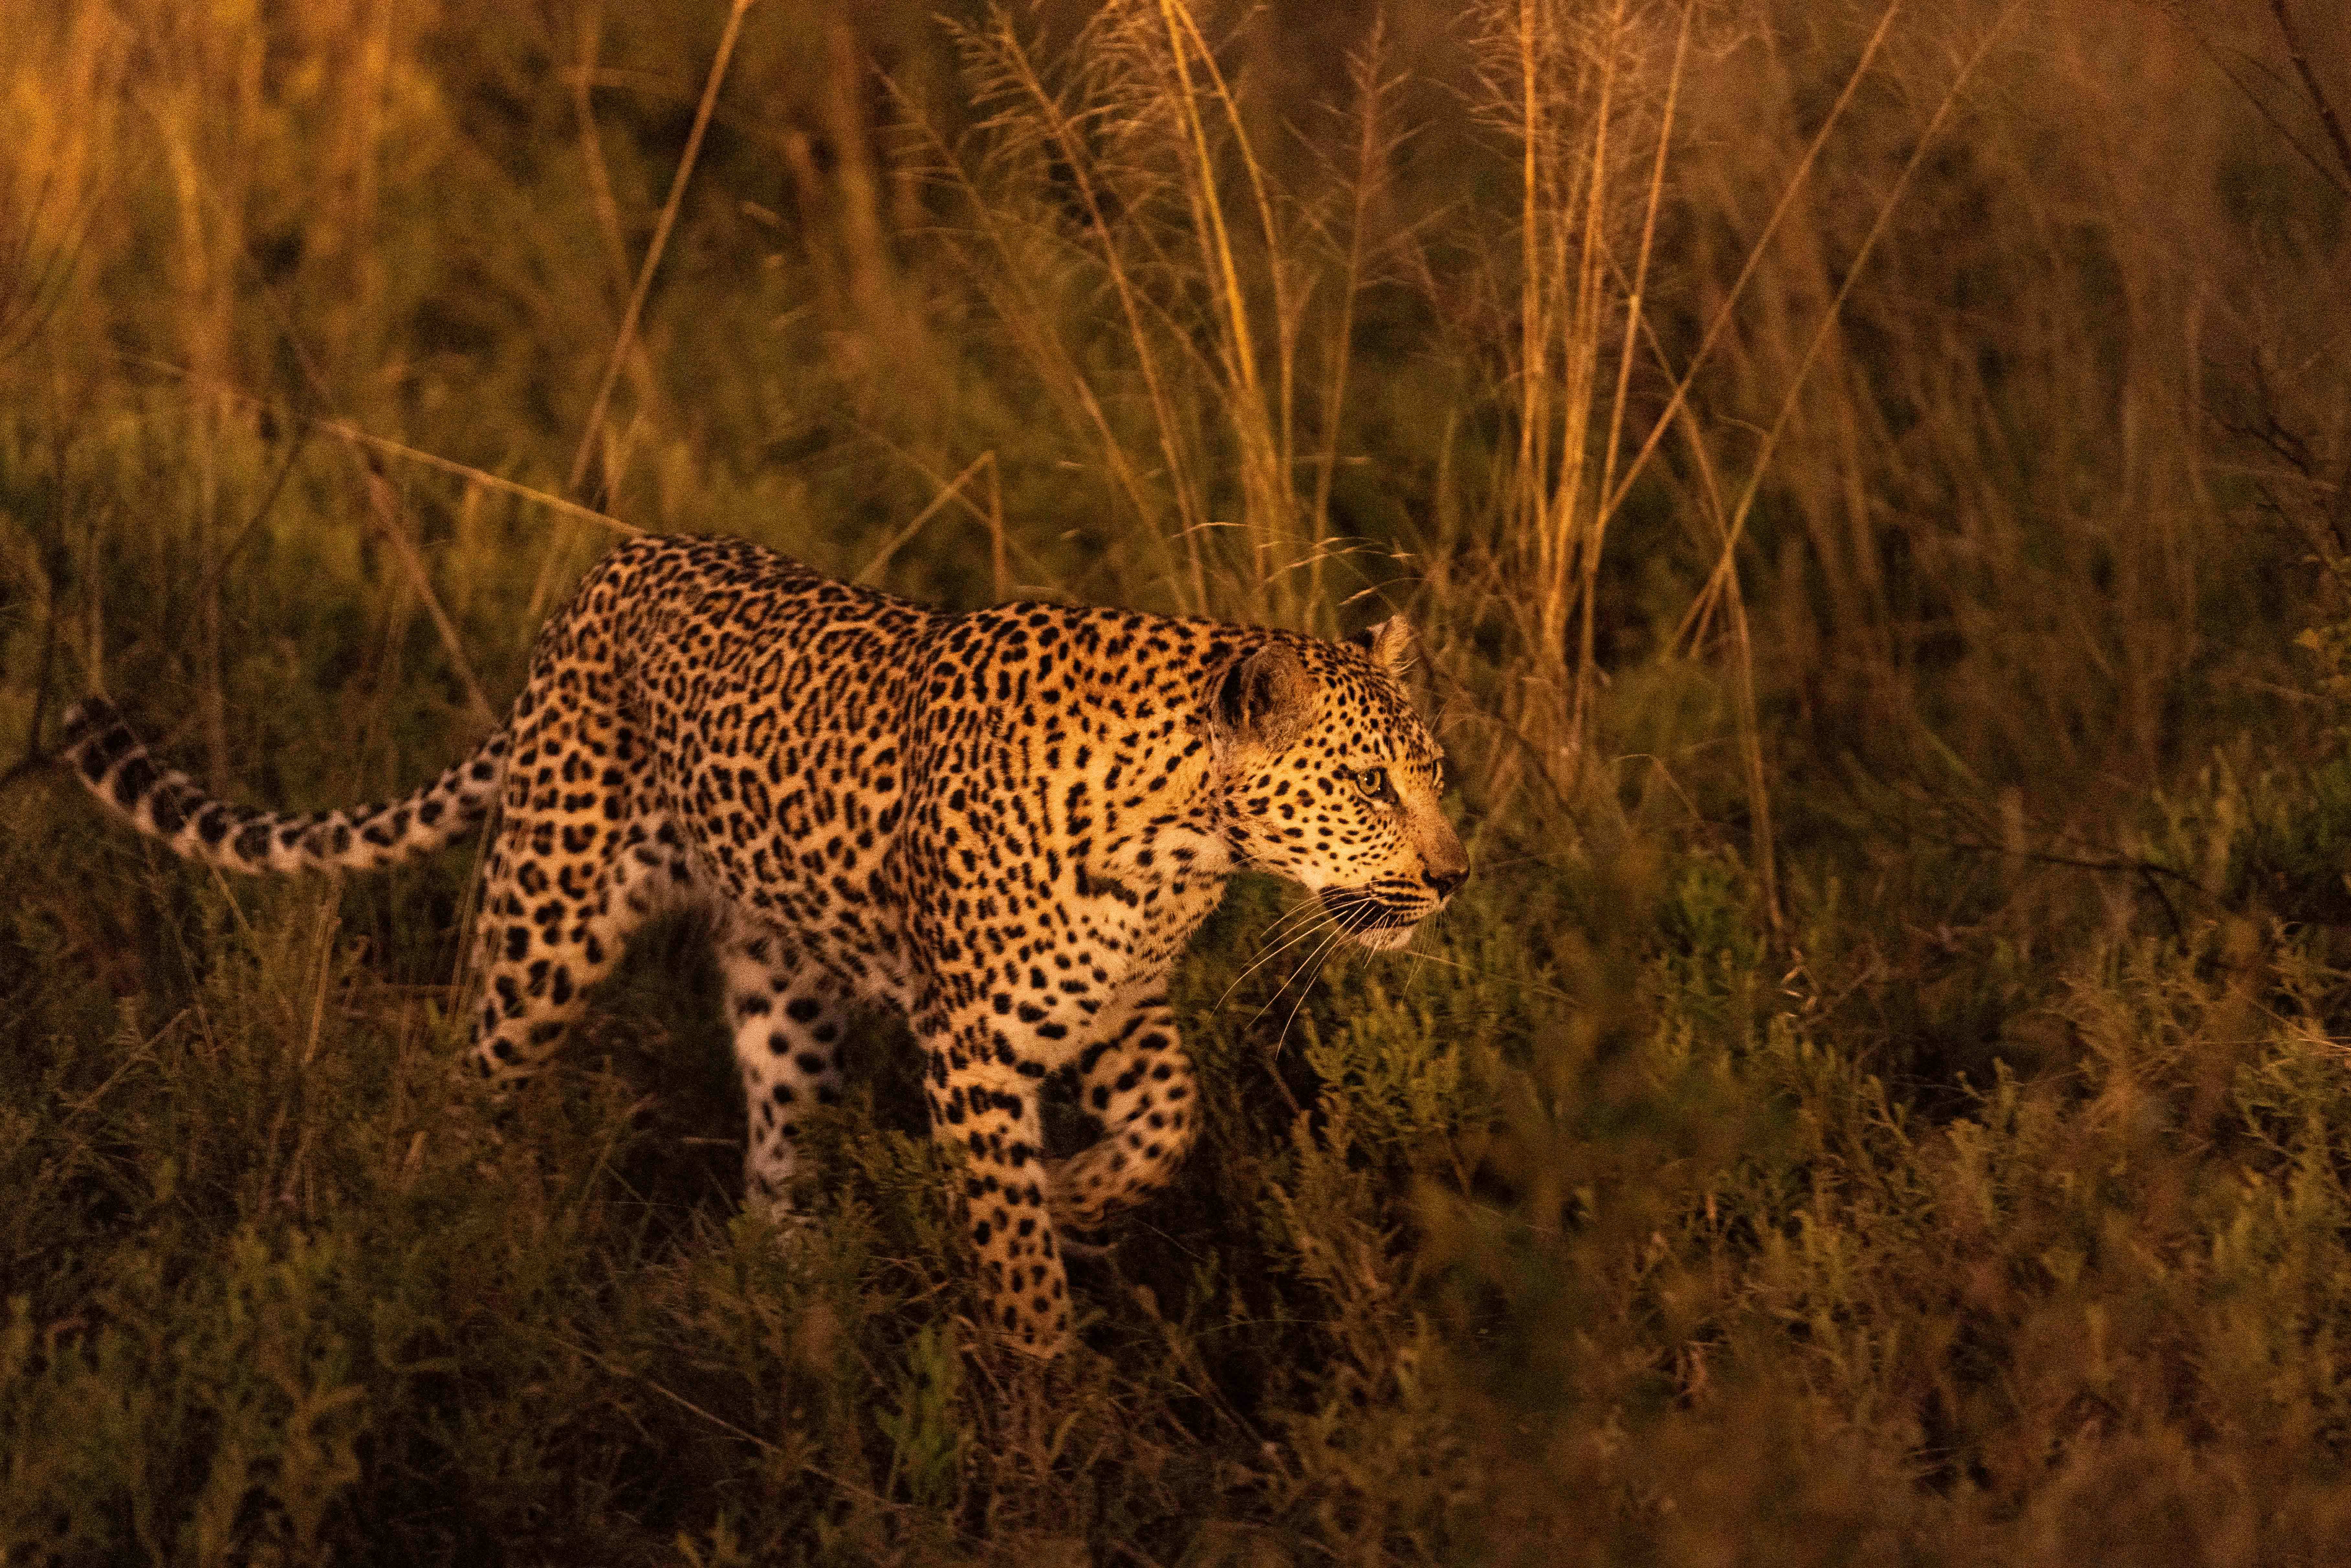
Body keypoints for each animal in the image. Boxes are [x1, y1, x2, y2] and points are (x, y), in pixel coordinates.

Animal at [59, 533, 1468, 1357]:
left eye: (1438, 773)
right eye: (1365, 785)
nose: (1453, 876)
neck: (1179, 839)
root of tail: (603, 575)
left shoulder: (1116, 1008)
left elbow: (1166, 1128)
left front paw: (1072, 1197)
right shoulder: (975, 1046)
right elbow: (1017, 1271)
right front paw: (1046, 1410)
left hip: (786, 989)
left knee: (774, 1164)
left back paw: (796, 1305)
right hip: (545, 923)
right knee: (464, 1086)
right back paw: (434, 1238)